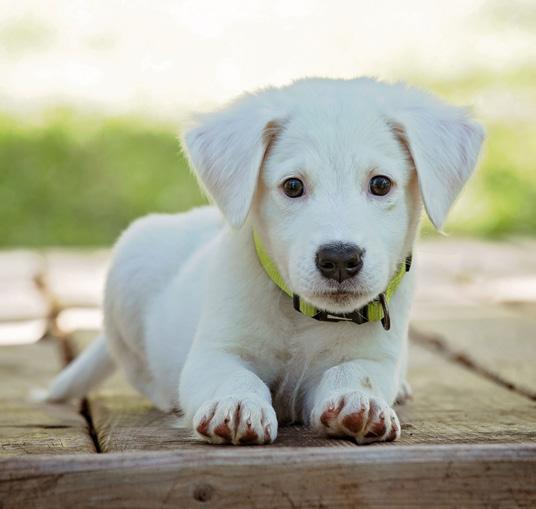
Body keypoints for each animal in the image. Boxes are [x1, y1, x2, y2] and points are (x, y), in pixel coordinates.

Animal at [47, 77, 486, 442]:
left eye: (380, 184)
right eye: (292, 186)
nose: (339, 259)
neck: (303, 317)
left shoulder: (374, 357)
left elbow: (354, 372)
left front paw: (358, 402)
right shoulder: (215, 352)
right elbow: (235, 377)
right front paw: (237, 404)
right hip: (129, 266)